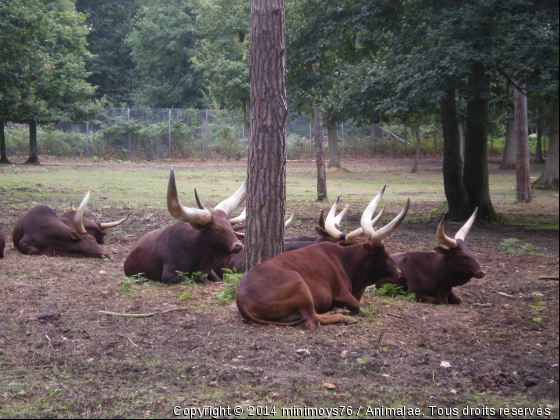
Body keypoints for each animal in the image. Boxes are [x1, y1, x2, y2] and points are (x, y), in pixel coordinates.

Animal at [236, 188, 412, 332]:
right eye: (385, 254)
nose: (399, 272)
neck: (345, 261)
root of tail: (241, 296)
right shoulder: (343, 294)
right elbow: (357, 306)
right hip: (300, 285)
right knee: (312, 320)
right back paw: (343, 316)